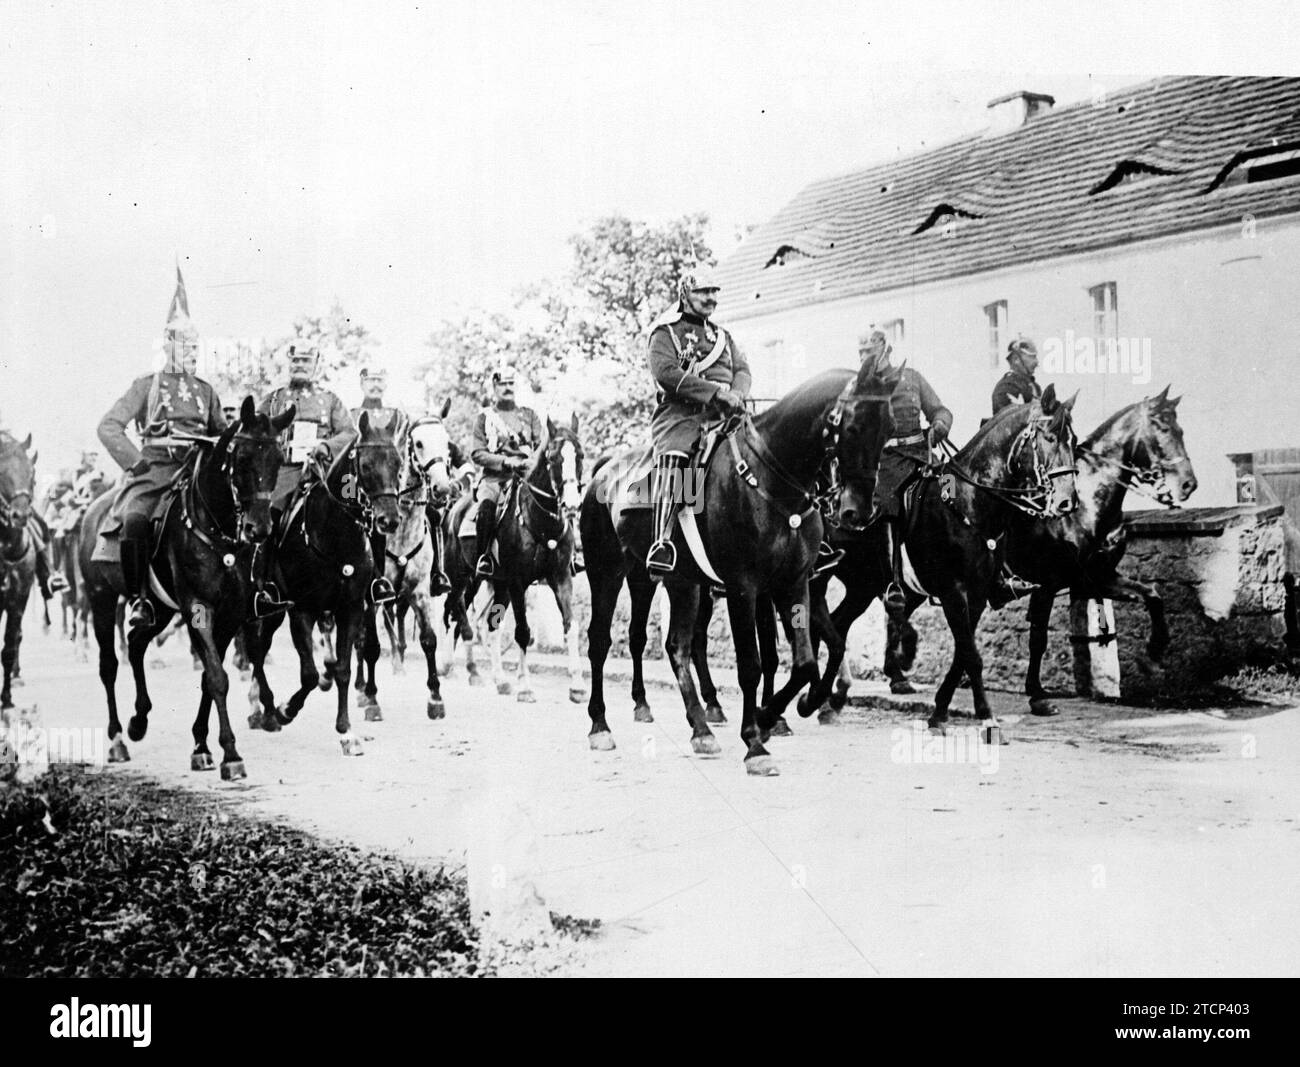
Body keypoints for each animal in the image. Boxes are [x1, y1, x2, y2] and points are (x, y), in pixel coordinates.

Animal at [81, 397, 295, 774]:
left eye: (278, 459)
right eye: (242, 458)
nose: (259, 529)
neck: (215, 530)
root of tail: (92, 513)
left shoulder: (229, 614)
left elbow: (211, 677)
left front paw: (201, 744)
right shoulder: (199, 608)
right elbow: (217, 677)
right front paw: (231, 754)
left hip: (161, 609)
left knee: (136, 644)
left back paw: (139, 721)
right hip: (101, 601)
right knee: (109, 665)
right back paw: (118, 738)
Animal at [244, 413, 400, 753]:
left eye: (397, 463)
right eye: (365, 465)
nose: (389, 520)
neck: (334, 537)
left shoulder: (350, 609)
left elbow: (342, 669)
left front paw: (346, 731)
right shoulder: (301, 611)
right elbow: (310, 675)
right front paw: (286, 709)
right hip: (266, 608)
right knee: (256, 651)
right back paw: (266, 710)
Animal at [441, 413, 585, 701]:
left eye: (581, 455)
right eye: (554, 458)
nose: (573, 505)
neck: (539, 521)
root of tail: (455, 508)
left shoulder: (561, 577)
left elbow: (570, 626)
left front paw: (576, 685)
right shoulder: (519, 581)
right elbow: (523, 631)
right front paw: (526, 686)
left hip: (499, 584)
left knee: (490, 627)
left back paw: (499, 679)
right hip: (463, 578)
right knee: (455, 611)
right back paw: (451, 665)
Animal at [582, 366, 899, 774]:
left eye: (889, 428)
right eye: (855, 425)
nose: (857, 512)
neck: (770, 481)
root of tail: (604, 470)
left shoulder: (793, 584)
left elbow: (806, 661)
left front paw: (783, 712)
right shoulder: (745, 589)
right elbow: (753, 663)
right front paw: (755, 741)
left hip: (681, 583)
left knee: (677, 646)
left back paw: (701, 728)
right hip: (608, 573)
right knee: (601, 642)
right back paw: (601, 725)